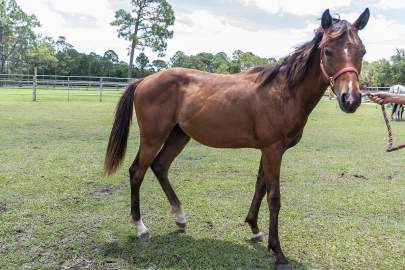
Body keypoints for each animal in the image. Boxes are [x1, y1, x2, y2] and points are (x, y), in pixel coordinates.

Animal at [103, 8, 370, 270]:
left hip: (178, 136)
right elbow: (274, 197)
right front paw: (278, 253)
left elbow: (260, 186)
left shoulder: (267, 150)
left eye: (362, 51)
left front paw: (254, 229)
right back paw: (141, 228)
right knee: (137, 172)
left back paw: (180, 217)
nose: (351, 99)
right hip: (153, 138)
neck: (284, 92)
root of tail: (143, 81)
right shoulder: (273, 150)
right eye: (328, 50)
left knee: (160, 167)